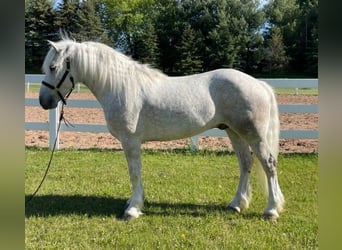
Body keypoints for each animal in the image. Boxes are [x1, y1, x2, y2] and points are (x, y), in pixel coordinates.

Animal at [38, 39, 284, 221]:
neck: (121, 86)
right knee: (246, 164)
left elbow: (134, 172)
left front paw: (133, 209)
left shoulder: (130, 141)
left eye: (52, 67)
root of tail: (259, 84)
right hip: (234, 132)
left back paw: (271, 210)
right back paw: (236, 204)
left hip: (253, 135)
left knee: (268, 164)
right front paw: (134, 203)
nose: (43, 101)